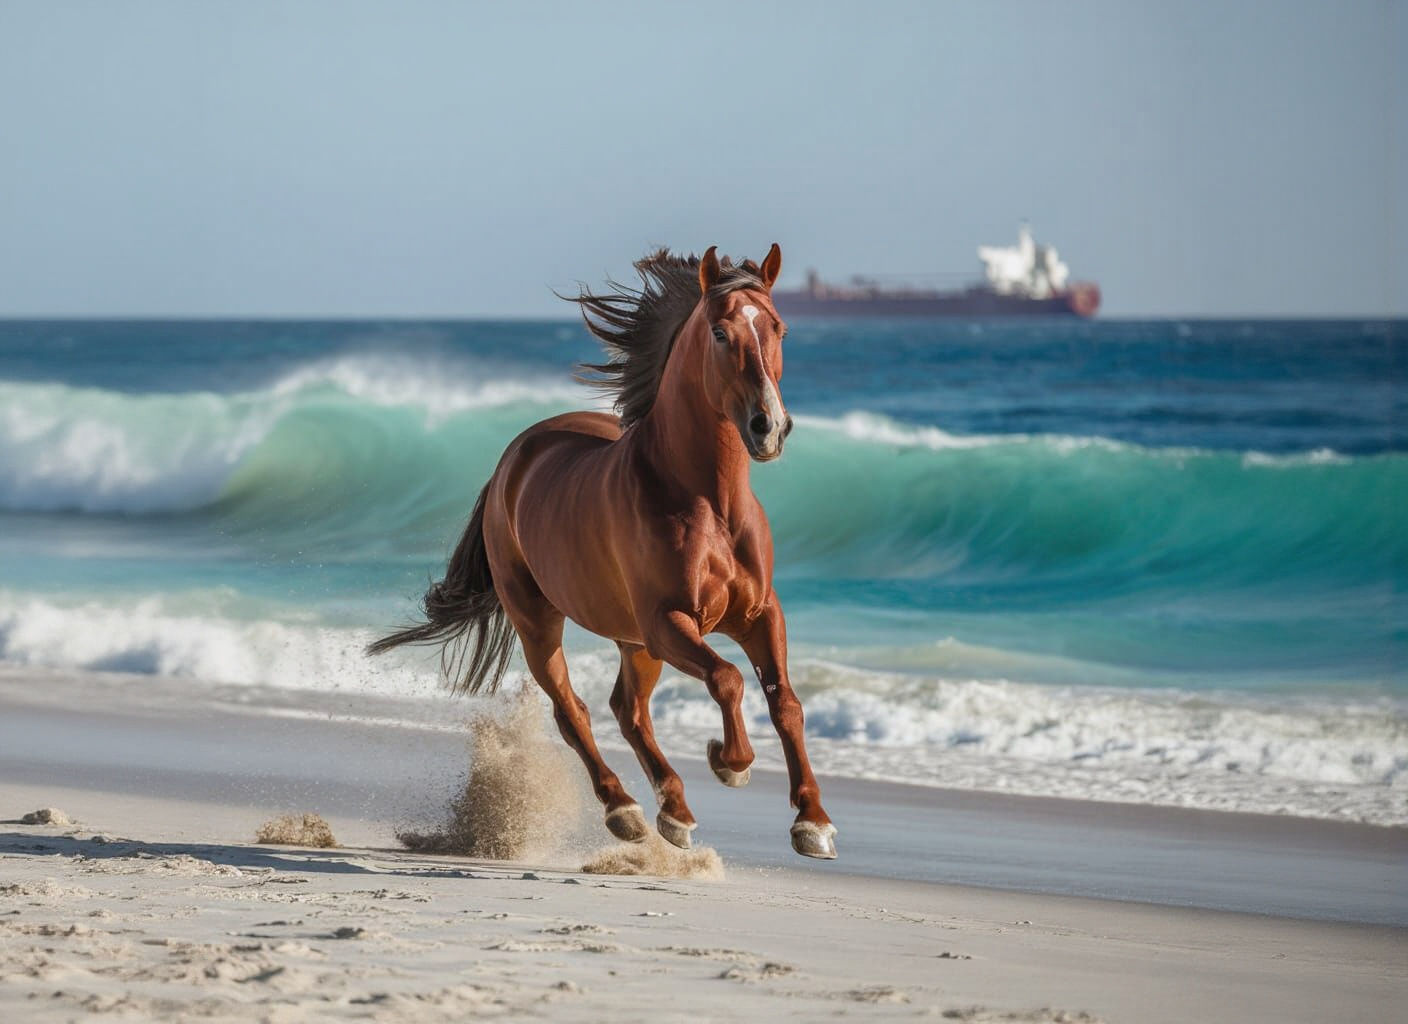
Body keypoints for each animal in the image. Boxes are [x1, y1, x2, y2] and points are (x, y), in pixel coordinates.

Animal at [369, 245, 836, 860]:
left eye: (778, 328)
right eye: (719, 332)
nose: (769, 428)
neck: (706, 501)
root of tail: (514, 457)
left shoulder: (759, 615)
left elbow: (786, 703)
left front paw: (813, 823)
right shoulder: (668, 620)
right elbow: (728, 679)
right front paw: (730, 762)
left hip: (633, 640)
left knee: (629, 711)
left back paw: (674, 811)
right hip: (543, 624)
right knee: (575, 712)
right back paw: (627, 811)